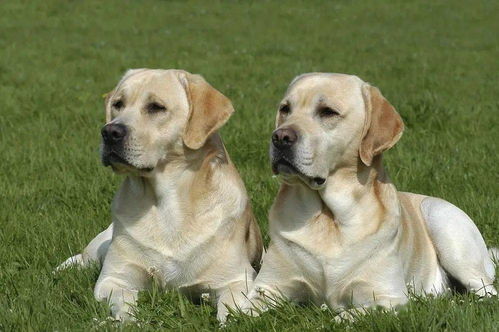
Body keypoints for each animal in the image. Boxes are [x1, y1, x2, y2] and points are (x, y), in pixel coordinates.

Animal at [56, 69, 264, 322]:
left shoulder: (236, 280)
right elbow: (123, 304)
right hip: (100, 247)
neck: (166, 205)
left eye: (156, 107)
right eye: (118, 104)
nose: (109, 132)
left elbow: (232, 311)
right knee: (82, 257)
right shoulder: (114, 278)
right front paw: (125, 321)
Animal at [244, 72, 498, 320]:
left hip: (444, 224)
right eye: (285, 109)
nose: (280, 137)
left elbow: (347, 315)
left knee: (486, 292)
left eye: (327, 111)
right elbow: (241, 310)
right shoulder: (267, 288)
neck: (328, 217)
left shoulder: (388, 296)